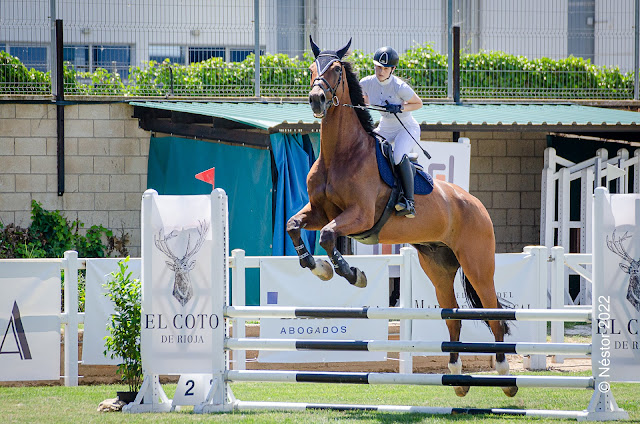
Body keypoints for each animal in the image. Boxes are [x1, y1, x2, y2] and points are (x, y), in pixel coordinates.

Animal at [288, 38, 516, 400]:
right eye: (311, 70)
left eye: (336, 71)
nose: (316, 99)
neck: (341, 153)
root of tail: (476, 204)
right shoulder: (320, 212)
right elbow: (294, 226)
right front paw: (318, 267)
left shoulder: (360, 216)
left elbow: (326, 236)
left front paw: (352, 274)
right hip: (438, 267)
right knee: (453, 317)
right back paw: (457, 377)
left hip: (478, 265)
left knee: (492, 313)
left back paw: (505, 374)